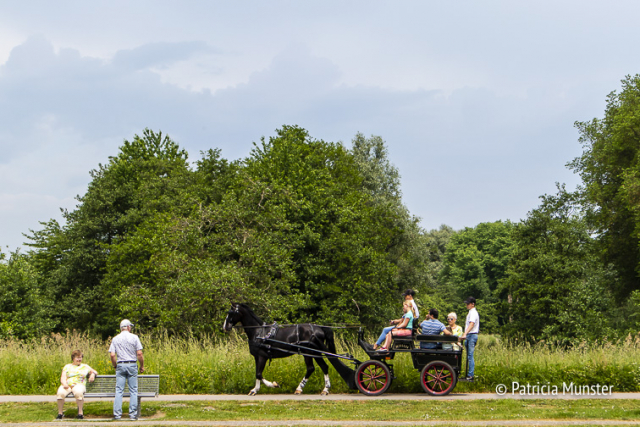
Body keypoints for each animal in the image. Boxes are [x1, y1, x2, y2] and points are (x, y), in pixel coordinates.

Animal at [222, 302, 358, 396]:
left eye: (231, 313)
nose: (224, 327)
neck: (259, 332)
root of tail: (319, 328)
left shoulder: (262, 356)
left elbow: (259, 374)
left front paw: (274, 385)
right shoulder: (257, 357)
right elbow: (257, 374)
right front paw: (254, 390)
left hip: (310, 352)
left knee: (316, 368)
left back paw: (310, 389)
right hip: (311, 353)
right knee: (319, 367)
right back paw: (315, 389)